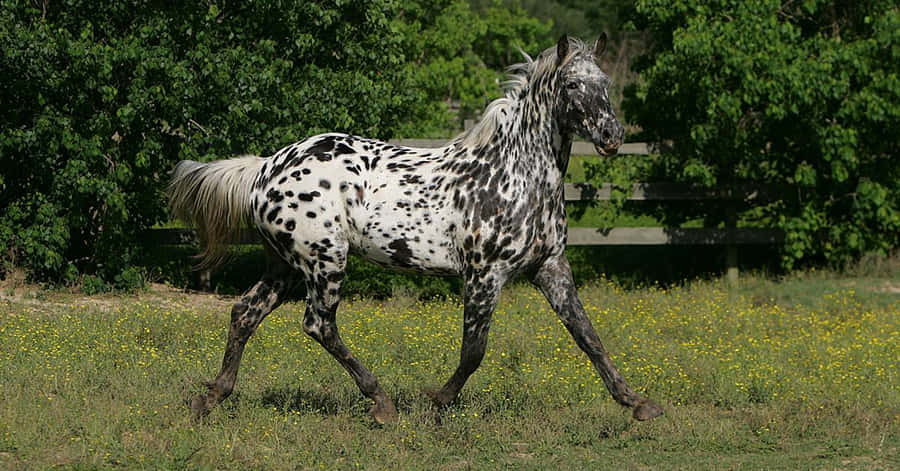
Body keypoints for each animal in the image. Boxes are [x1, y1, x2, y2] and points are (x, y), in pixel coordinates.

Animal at [169, 34, 663, 424]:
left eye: (605, 83)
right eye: (572, 83)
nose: (613, 137)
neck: (514, 175)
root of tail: (265, 167)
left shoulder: (550, 267)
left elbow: (588, 336)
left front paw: (638, 403)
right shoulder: (483, 276)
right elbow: (474, 350)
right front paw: (437, 402)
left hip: (286, 265)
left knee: (245, 313)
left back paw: (210, 398)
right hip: (325, 260)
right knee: (318, 324)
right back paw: (381, 403)